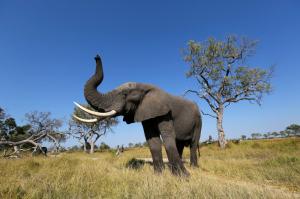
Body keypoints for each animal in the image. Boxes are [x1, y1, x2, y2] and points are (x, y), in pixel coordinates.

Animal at [74, 54, 203, 176]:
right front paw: (158, 175)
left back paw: (193, 168)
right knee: (179, 143)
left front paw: (184, 177)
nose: (96, 56)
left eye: (125, 95)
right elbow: (152, 140)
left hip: (198, 121)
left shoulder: (165, 112)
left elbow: (167, 137)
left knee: (193, 143)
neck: (145, 87)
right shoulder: (145, 113)